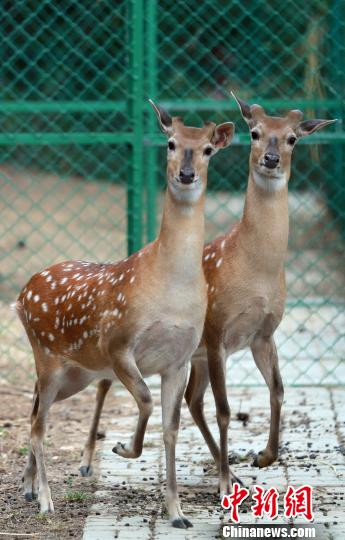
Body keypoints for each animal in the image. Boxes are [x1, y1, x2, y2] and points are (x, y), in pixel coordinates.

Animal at [14, 101, 232, 528]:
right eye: (170, 143)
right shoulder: (118, 344)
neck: (170, 288)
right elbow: (145, 401)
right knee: (36, 423)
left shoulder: (179, 359)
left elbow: (171, 428)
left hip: (76, 373)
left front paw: (176, 512)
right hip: (47, 356)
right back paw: (46, 500)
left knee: (34, 408)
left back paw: (29, 487)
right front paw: (123, 448)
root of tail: (21, 293)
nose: (186, 174)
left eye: (208, 150)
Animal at [185, 96, 336, 498]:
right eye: (254, 132)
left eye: (292, 138)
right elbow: (225, 409)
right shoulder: (216, 332)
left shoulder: (263, 333)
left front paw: (264, 456)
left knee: (191, 399)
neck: (256, 273)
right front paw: (225, 481)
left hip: (195, 356)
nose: (270, 159)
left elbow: (278, 389)